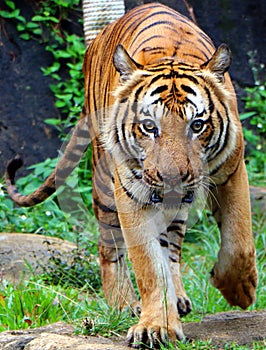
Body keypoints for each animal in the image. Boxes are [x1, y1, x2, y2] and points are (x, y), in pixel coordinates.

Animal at [4, 2, 258, 348]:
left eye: (197, 125)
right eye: (149, 126)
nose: (172, 178)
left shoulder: (232, 172)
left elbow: (239, 241)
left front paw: (239, 292)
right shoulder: (131, 194)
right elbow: (148, 265)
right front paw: (155, 326)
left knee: (172, 247)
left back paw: (178, 297)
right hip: (104, 186)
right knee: (109, 249)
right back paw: (123, 304)